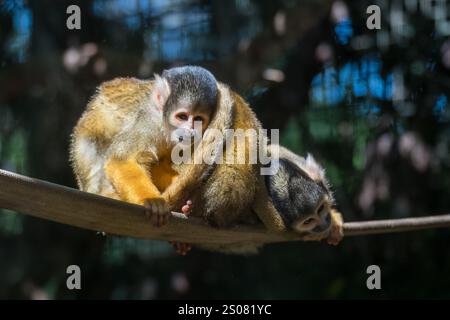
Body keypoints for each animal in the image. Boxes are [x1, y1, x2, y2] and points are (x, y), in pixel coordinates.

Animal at [69, 65, 219, 226]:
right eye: (182, 116)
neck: (164, 125)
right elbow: (120, 159)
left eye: (198, 119)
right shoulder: (147, 122)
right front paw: (153, 201)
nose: (190, 131)